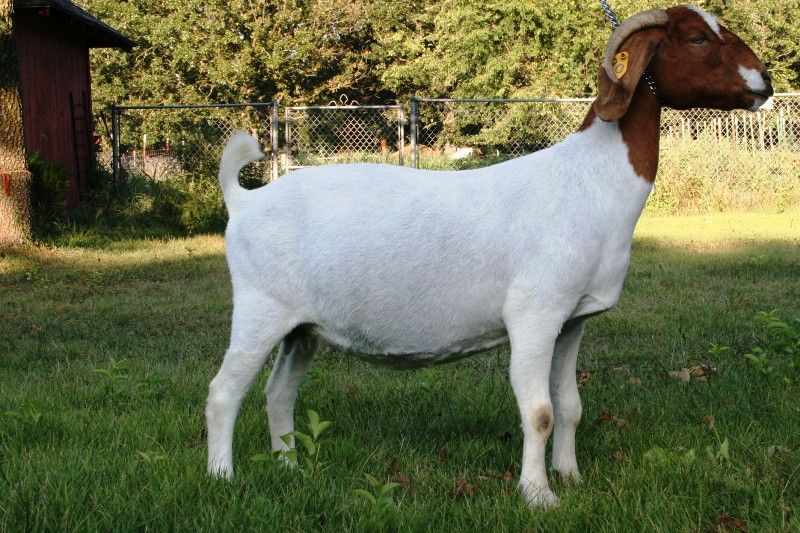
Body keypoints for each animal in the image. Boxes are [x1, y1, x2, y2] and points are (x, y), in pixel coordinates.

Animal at [206, 5, 773, 506]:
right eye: (697, 38)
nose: (765, 82)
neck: (591, 180)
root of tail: (245, 201)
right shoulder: (534, 313)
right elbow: (539, 411)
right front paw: (538, 495)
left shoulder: (573, 320)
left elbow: (570, 405)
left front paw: (571, 476)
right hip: (260, 310)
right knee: (223, 392)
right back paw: (222, 478)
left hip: (301, 330)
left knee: (278, 393)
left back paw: (288, 466)